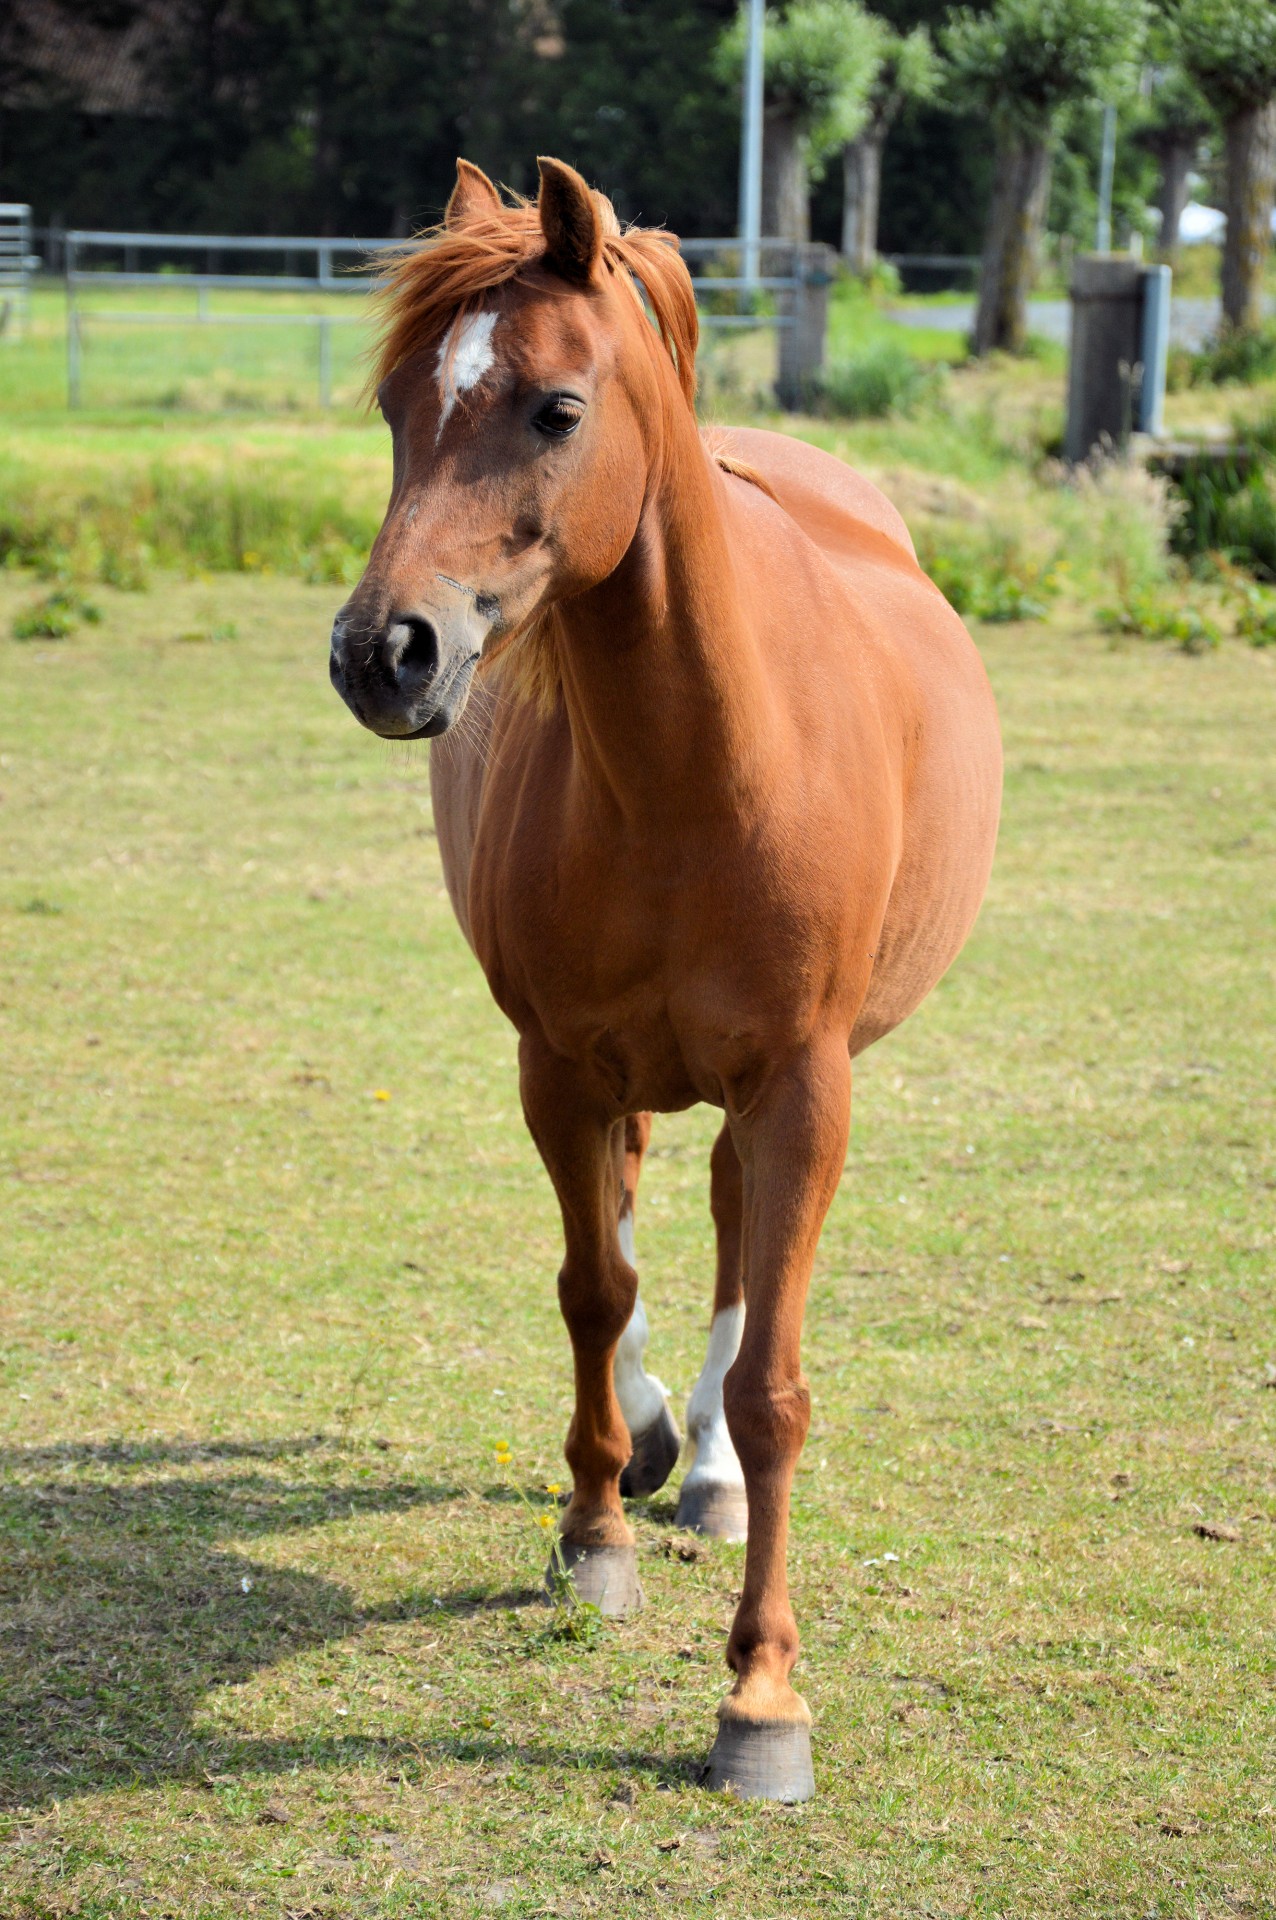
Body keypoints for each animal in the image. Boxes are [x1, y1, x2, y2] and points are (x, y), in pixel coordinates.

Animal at [330, 161, 1005, 1797]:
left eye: (556, 408)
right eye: (393, 404)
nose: (384, 652)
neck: (701, 766)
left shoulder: (803, 1085)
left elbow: (772, 1382)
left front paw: (762, 1693)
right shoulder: (558, 1065)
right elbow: (592, 1289)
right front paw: (592, 1538)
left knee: (724, 1230)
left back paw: (699, 1467)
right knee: (640, 1210)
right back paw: (644, 1444)